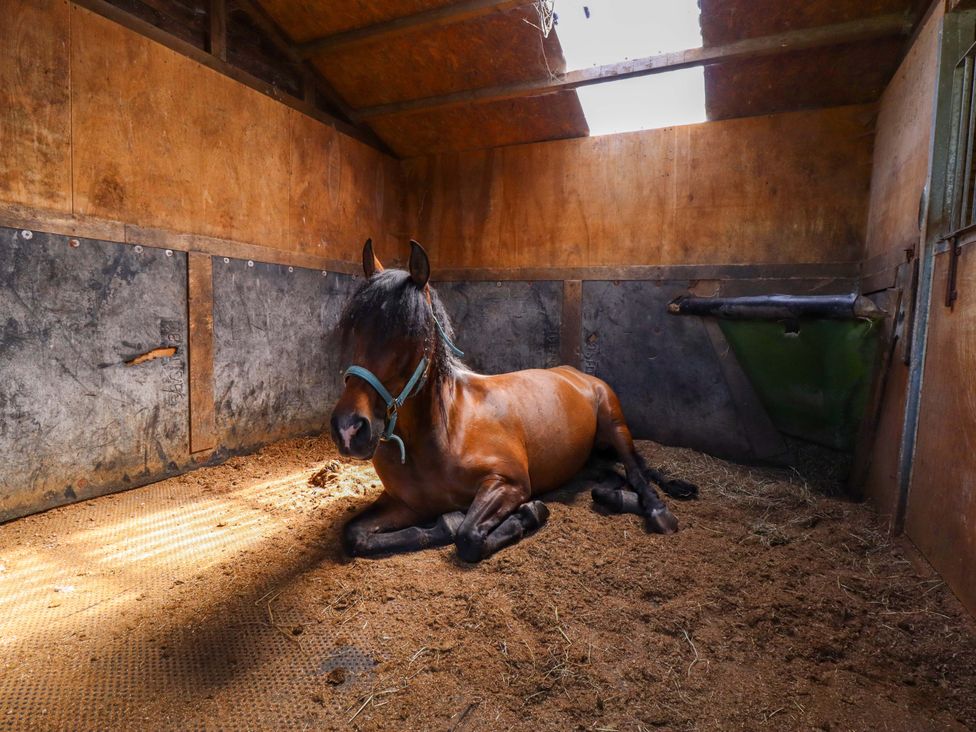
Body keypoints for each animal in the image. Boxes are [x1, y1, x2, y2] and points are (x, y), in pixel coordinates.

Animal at [329, 239, 698, 562]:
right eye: (355, 328)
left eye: (411, 334)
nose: (348, 429)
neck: (446, 429)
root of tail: (577, 374)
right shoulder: (404, 504)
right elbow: (354, 535)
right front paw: (448, 520)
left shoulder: (509, 482)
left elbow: (468, 536)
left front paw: (529, 513)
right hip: (588, 460)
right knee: (612, 479)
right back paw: (617, 496)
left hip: (614, 422)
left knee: (635, 470)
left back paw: (658, 511)